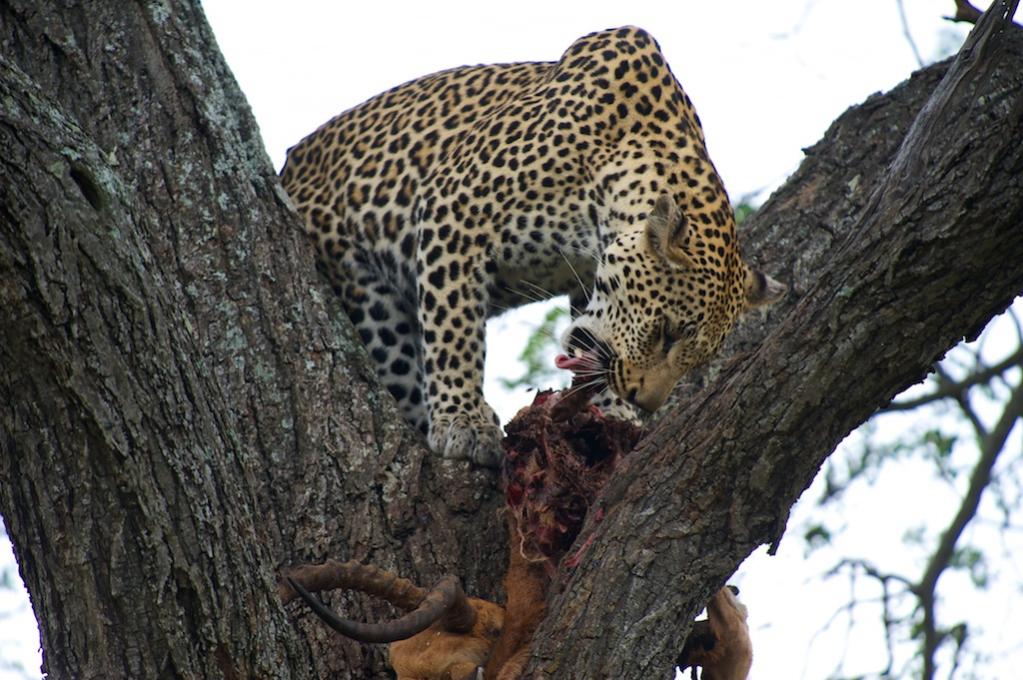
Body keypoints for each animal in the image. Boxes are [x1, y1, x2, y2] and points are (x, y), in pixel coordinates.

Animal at [280, 26, 784, 467]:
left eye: (696, 356)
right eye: (667, 332)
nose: (643, 399)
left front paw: (614, 413)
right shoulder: (452, 210)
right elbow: (453, 330)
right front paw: (463, 421)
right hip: (371, 302)